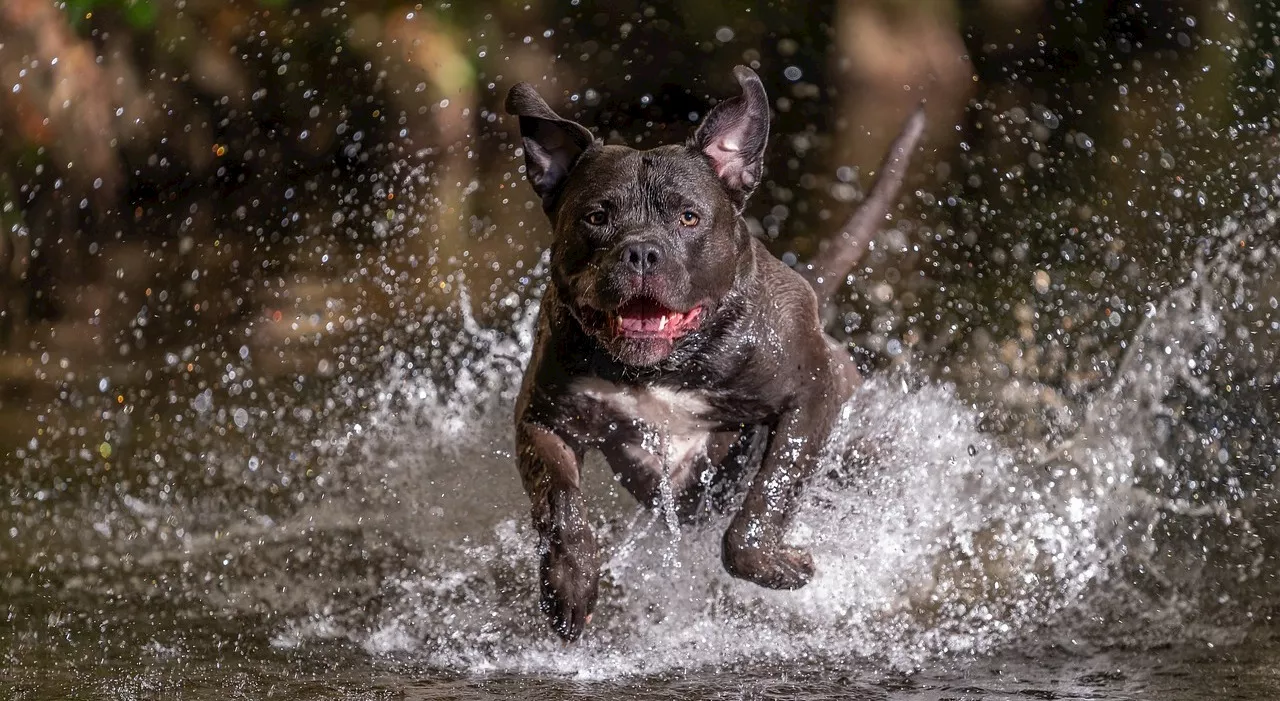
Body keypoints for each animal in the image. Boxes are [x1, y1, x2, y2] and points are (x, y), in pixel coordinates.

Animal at [504, 67, 926, 639]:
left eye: (688, 217)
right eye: (596, 216)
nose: (641, 251)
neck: (663, 368)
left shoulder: (814, 390)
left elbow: (769, 494)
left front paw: (778, 564)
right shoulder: (544, 418)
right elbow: (560, 502)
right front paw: (569, 584)